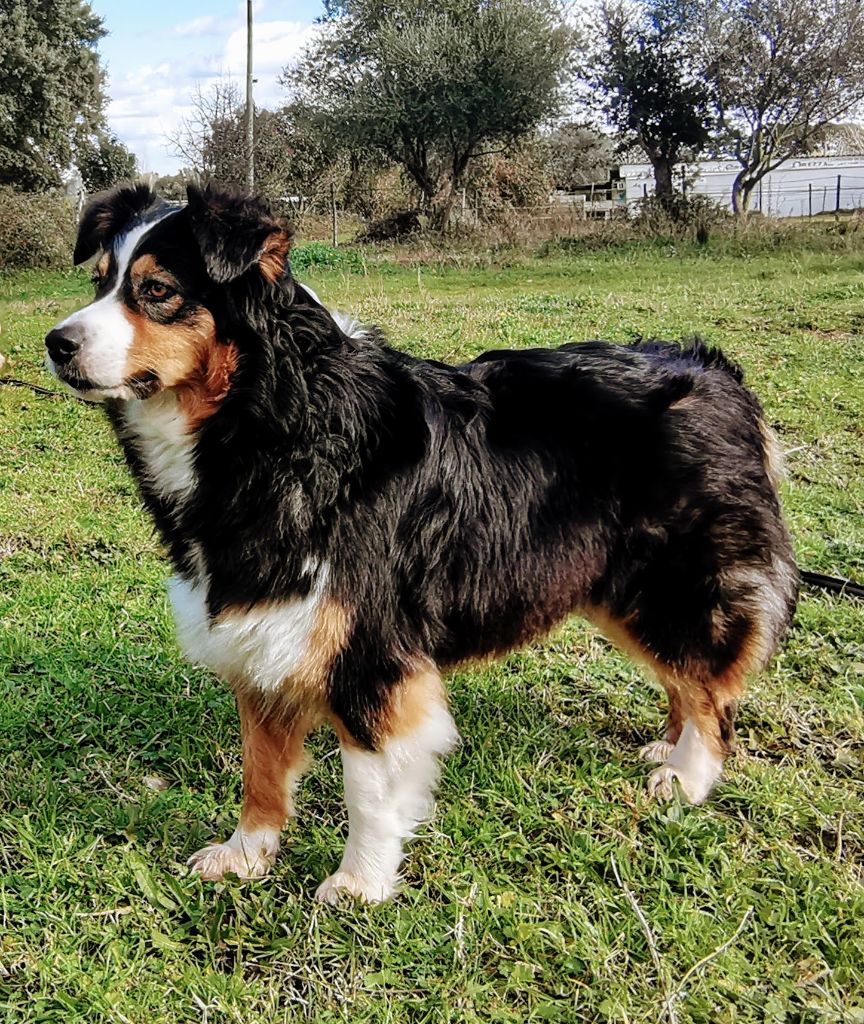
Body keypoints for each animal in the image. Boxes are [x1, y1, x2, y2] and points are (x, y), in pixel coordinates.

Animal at [45, 186, 798, 905]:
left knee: (711, 688)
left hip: (675, 581)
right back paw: (667, 751)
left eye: (157, 291)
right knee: (687, 674)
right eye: (100, 282)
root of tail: (719, 372)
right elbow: (261, 765)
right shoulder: (264, 624)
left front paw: (360, 884)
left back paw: (689, 776)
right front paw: (248, 854)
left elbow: (370, 788)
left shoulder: (368, 649)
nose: (56, 342)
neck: (276, 423)